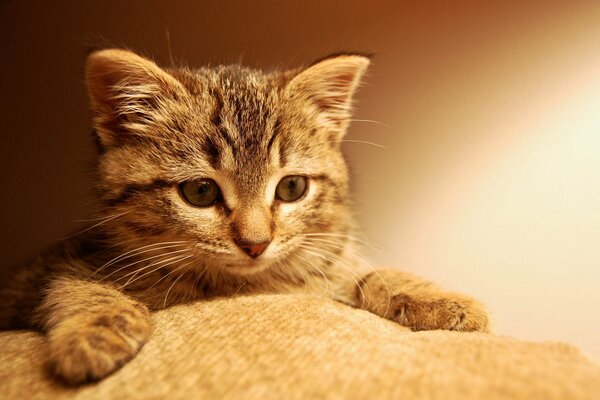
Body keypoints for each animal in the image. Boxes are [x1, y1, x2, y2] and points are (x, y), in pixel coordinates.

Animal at [0, 49, 488, 384]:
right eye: (199, 192)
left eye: (292, 188)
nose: (255, 243)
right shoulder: (53, 268)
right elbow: (76, 287)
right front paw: (95, 333)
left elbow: (368, 275)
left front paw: (440, 300)